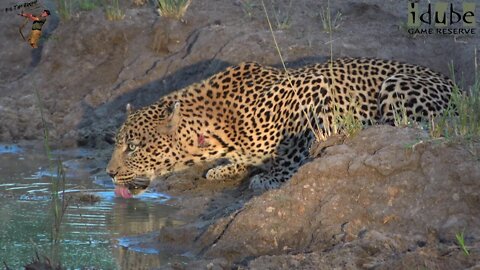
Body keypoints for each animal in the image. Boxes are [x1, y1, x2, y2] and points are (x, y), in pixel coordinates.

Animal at [106, 58, 454, 195]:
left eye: (133, 147)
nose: (109, 174)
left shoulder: (317, 89)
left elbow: (296, 146)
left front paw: (273, 177)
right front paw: (228, 169)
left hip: (396, 86)